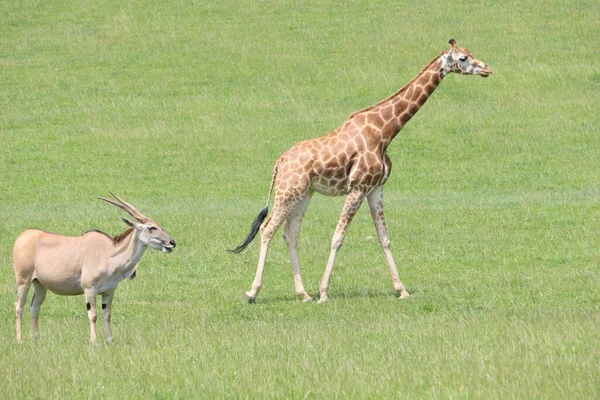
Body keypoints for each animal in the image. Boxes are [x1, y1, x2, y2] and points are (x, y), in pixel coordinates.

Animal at [12, 192, 175, 342]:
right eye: (151, 227)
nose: (172, 242)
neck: (109, 252)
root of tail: (24, 235)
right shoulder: (89, 289)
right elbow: (93, 315)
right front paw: (94, 342)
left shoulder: (109, 291)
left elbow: (107, 315)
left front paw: (110, 341)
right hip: (24, 280)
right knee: (19, 306)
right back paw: (20, 340)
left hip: (40, 284)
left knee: (34, 307)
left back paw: (36, 339)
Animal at [231, 39, 492, 304]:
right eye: (462, 58)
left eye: (470, 53)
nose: (487, 69)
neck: (385, 131)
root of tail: (280, 161)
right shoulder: (358, 188)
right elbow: (337, 238)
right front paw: (324, 293)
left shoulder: (376, 188)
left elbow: (384, 238)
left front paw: (402, 290)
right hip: (288, 192)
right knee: (267, 229)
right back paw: (253, 292)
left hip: (304, 194)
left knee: (290, 234)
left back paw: (303, 294)